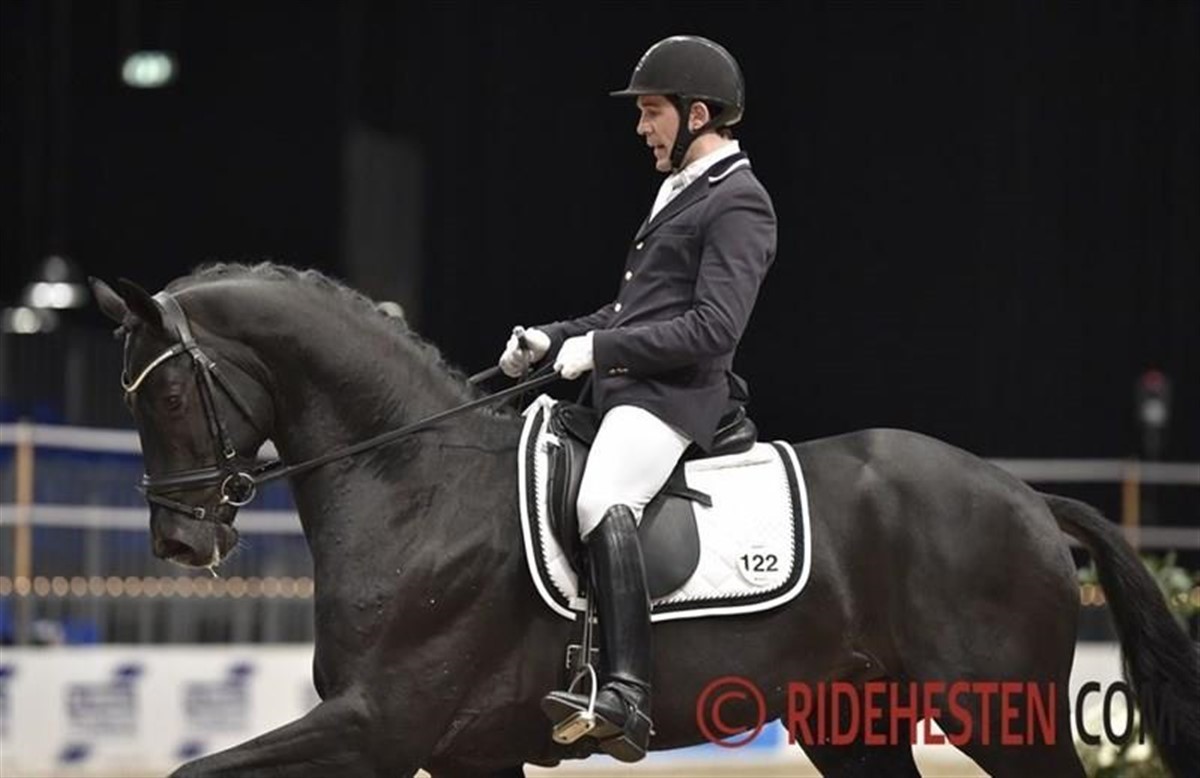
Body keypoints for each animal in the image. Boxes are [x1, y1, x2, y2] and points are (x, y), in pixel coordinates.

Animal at [89, 263, 1199, 778]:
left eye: (169, 393)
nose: (181, 543)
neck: (412, 482)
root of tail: (1024, 495)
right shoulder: (468, 750)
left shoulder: (376, 727)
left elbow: (192, 765)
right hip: (852, 723)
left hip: (996, 712)